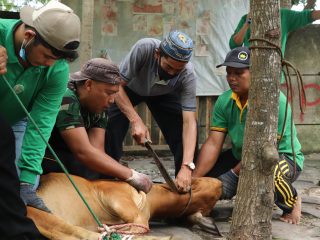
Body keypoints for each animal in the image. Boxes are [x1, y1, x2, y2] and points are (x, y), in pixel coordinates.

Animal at [26, 173, 222, 239]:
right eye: (197, 181)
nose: (220, 183)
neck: (151, 202)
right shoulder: (114, 195)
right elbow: (141, 224)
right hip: (41, 213)